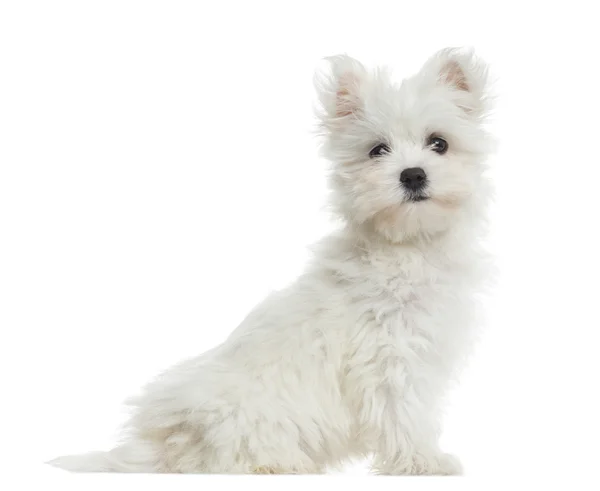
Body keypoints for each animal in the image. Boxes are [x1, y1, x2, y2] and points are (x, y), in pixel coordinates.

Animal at [50, 48, 492, 474]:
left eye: (439, 143)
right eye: (377, 150)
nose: (413, 175)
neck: (407, 246)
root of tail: (161, 446)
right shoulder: (389, 359)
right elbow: (403, 416)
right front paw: (424, 462)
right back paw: (280, 465)